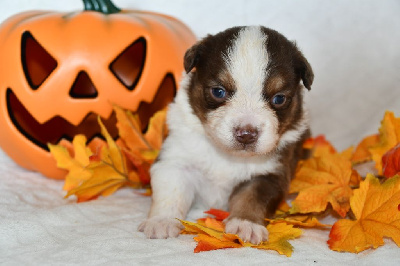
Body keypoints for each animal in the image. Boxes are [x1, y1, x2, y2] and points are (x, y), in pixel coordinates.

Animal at [139, 26, 314, 244]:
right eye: (218, 91)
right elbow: (171, 191)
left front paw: (245, 224)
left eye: (279, 98)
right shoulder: (175, 159)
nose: (246, 134)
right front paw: (162, 221)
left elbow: (251, 196)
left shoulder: (270, 173)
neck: (227, 155)